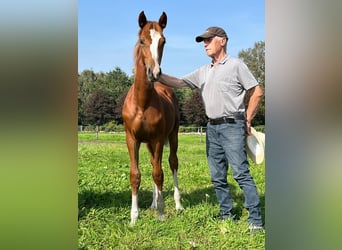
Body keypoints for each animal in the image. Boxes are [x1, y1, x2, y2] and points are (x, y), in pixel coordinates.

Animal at [121, 11, 183, 226]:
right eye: (142, 40)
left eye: (163, 41)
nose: (154, 73)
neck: (142, 103)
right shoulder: (132, 139)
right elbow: (135, 175)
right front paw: (134, 217)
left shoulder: (157, 139)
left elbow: (159, 173)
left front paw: (162, 214)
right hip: (148, 143)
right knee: (153, 164)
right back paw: (154, 203)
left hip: (172, 136)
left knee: (171, 163)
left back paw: (177, 204)